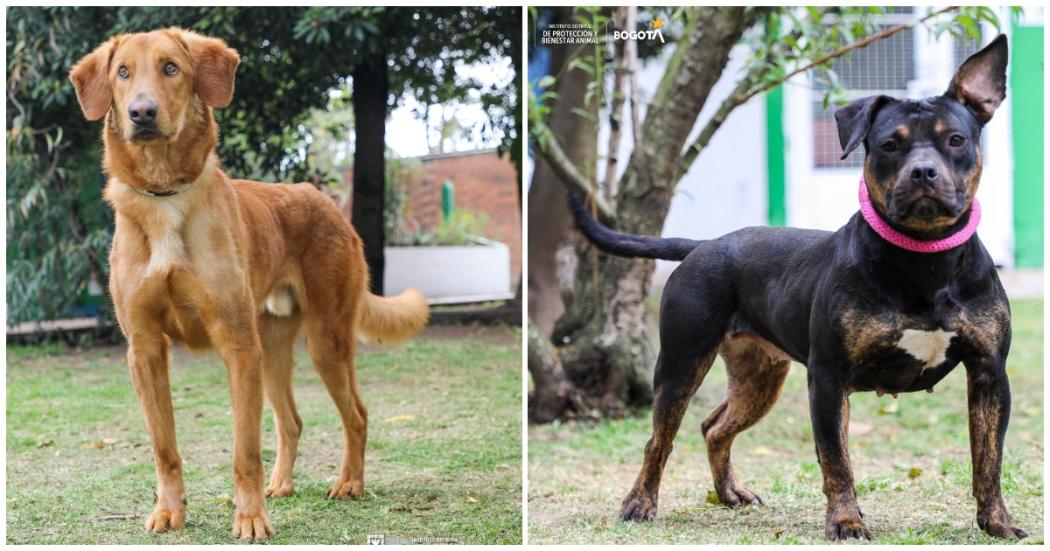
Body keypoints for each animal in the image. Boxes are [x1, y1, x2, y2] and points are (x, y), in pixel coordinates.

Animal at [69, 27, 426, 537]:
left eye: (171, 68)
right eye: (122, 73)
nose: (141, 112)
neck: (165, 195)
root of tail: (323, 200)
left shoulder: (237, 347)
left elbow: (244, 451)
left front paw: (251, 518)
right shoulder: (145, 350)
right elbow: (164, 447)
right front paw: (169, 510)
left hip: (324, 341)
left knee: (356, 415)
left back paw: (349, 483)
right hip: (272, 350)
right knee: (291, 421)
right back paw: (282, 484)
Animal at [575, 33, 1024, 537]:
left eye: (956, 139)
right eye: (889, 144)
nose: (923, 172)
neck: (926, 259)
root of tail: (705, 243)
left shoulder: (989, 374)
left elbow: (988, 459)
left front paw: (997, 521)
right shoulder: (828, 379)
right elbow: (837, 460)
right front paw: (846, 521)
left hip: (758, 377)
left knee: (715, 426)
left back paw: (730, 493)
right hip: (680, 366)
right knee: (659, 439)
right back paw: (640, 503)